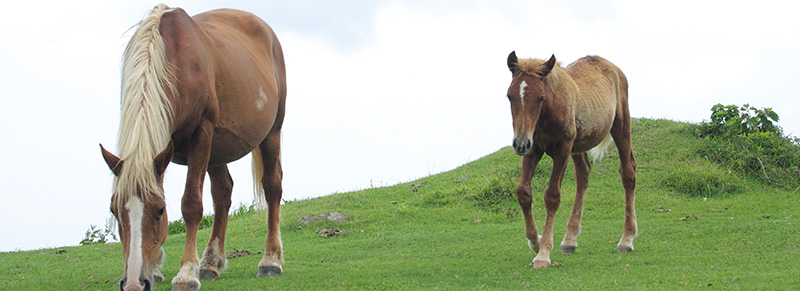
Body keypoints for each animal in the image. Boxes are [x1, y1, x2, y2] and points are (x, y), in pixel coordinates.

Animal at [99, 5, 288, 291]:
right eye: (114, 210)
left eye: (159, 210)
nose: (133, 283)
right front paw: (155, 269)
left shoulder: (201, 133)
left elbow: (191, 205)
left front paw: (186, 273)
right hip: (218, 148)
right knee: (222, 192)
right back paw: (211, 263)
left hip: (270, 133)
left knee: (272, 186)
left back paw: (270, 260)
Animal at [506, 52, 636, 270]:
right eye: (509, 95)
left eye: (540, 97)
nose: (519, 144)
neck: (549, 112)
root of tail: (613, 68)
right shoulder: (533, 148)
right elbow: (523, 192)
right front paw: (535, 241)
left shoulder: (562, 149)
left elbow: (552, 196)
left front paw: (543, 253)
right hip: (578, 145)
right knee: (583, 174)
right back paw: (570, 239)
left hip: (621, 127)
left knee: (628, 173)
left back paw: (626, 239)